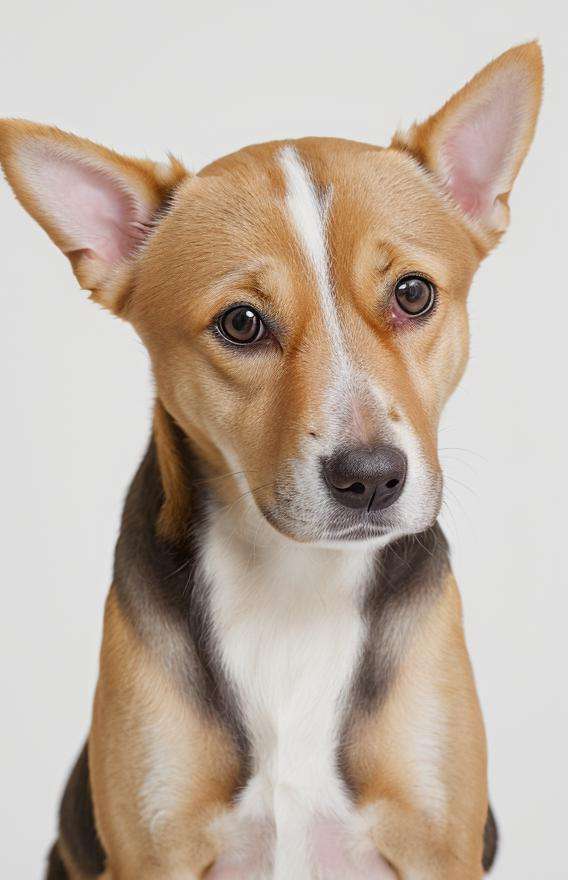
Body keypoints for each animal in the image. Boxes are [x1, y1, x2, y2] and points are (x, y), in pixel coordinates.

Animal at [0, 39, 540, 880]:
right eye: (242, 323)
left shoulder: (437, 843)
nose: (370, 479)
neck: (295, 587)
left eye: (413, 294)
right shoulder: (153, 851)